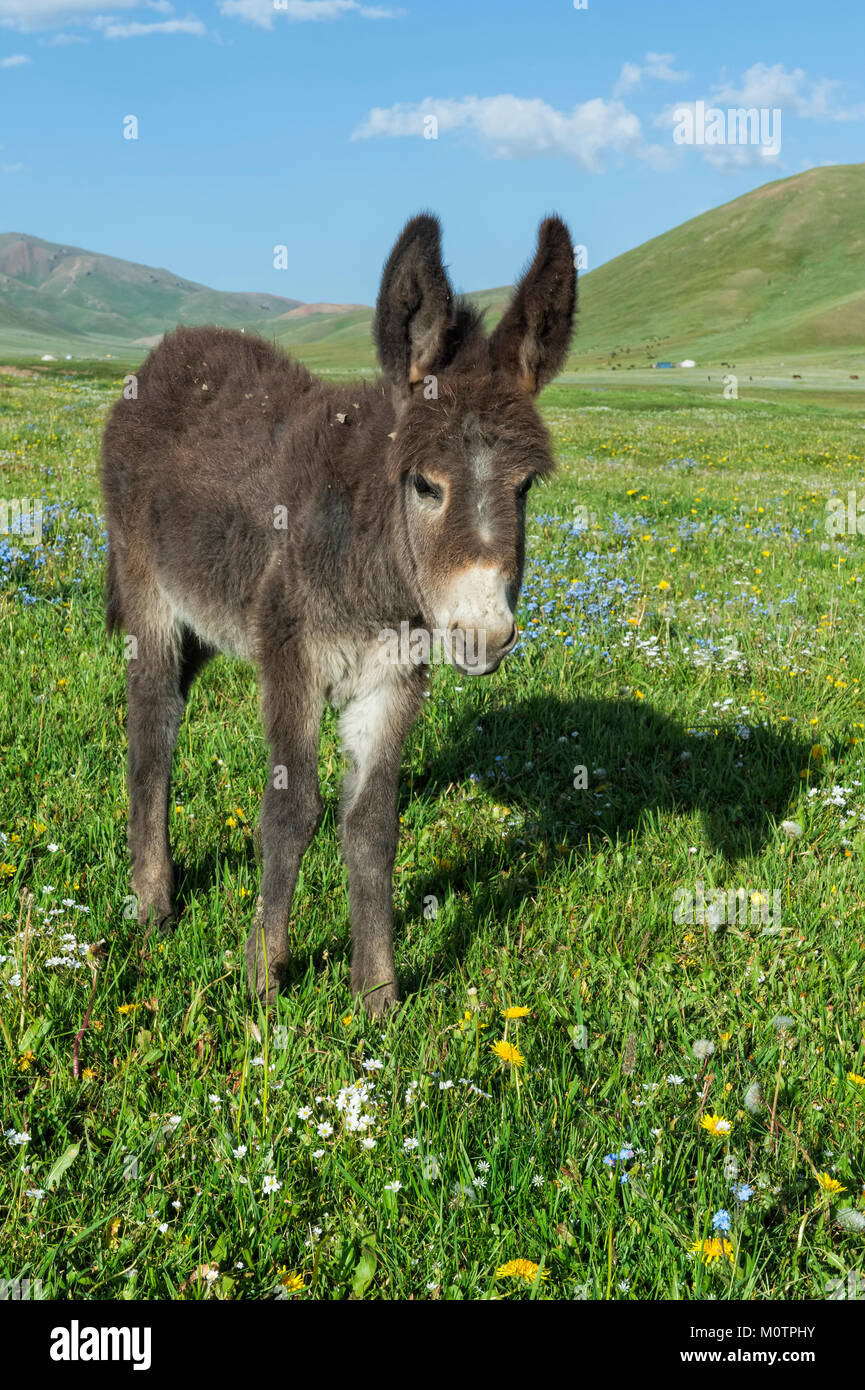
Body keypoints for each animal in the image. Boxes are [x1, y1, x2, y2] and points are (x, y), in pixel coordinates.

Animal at [100, 211, 575, 1017]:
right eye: (425, 485)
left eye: (524, 489)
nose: (483, 636)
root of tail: (175, 347)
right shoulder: (293, 660)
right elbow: (292, 811)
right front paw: (264, 980)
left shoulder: (393, 680)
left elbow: (373, 824)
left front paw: (377, 994)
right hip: (148, 595)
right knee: (152, 728)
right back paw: (154, 904)